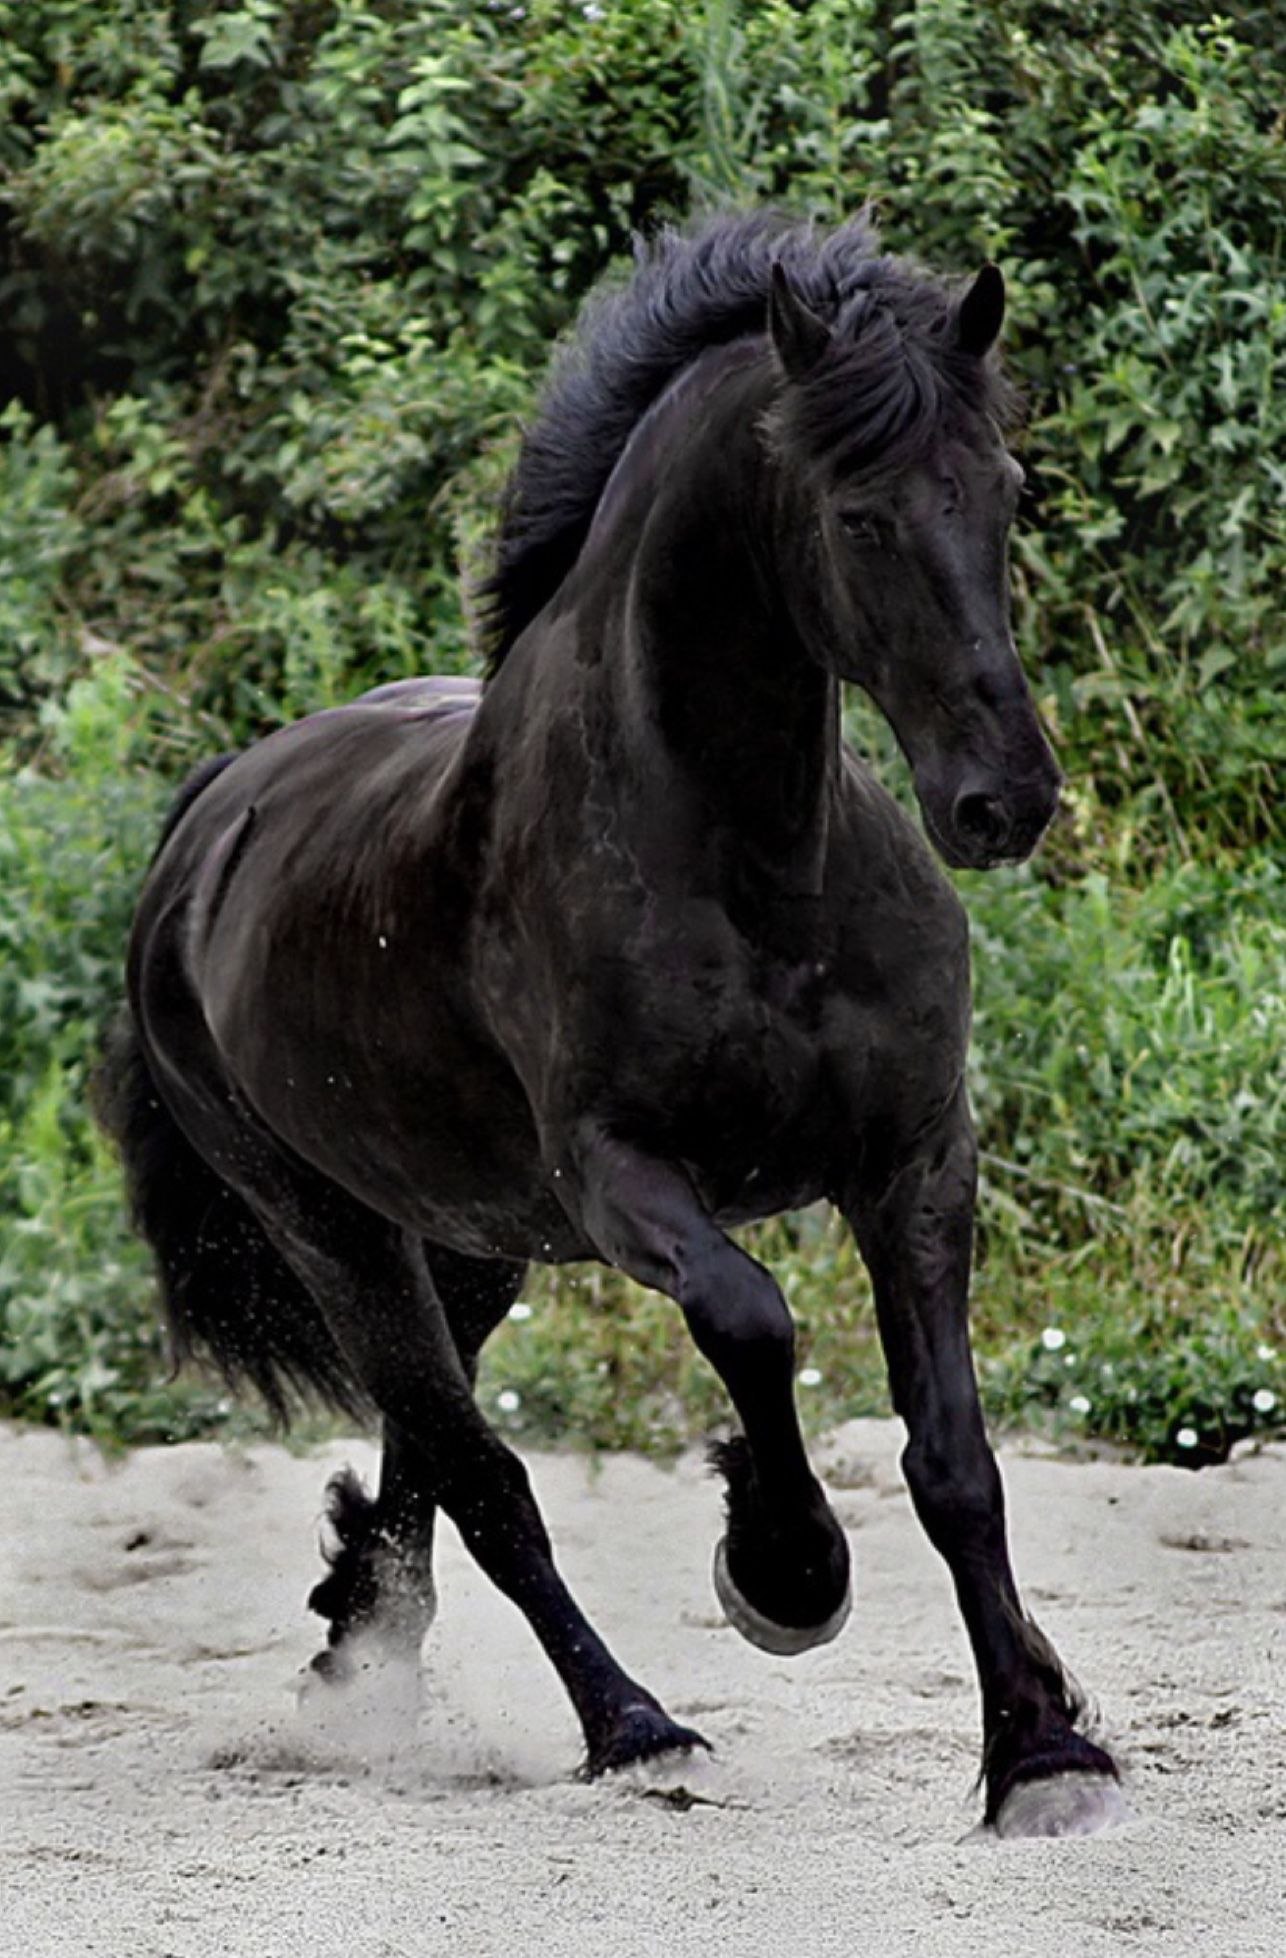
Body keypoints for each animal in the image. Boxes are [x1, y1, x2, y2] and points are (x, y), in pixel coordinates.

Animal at [102, 214, 1127, 1832]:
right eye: (856, 516)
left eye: (1006, 490)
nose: (1002, 798)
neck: (758, 864)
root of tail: (209, 820)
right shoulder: (624, 1176)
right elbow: (751, 1320)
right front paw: (782, 1565)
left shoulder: (914, 1159)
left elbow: (956, 1459)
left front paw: (1038, 1746)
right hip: (332, 1227)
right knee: (482, 1475)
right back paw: (632, 1724)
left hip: (464, 1243)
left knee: (424, 1444)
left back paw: (360, 1640)